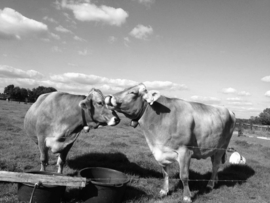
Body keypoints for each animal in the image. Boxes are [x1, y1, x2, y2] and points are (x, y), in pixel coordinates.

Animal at [104, 83, 235, 202]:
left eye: (133, 92)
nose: (108, 97)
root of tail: (228, 110)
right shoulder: (160, 151)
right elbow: (164, 173)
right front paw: (164, 191)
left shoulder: (185, 151)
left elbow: (184, 176)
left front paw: (187, 197)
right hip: (214, 147)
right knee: (215, 164)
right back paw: (215, 180)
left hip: (222, 146)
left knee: (216, 165)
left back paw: (210, 184)